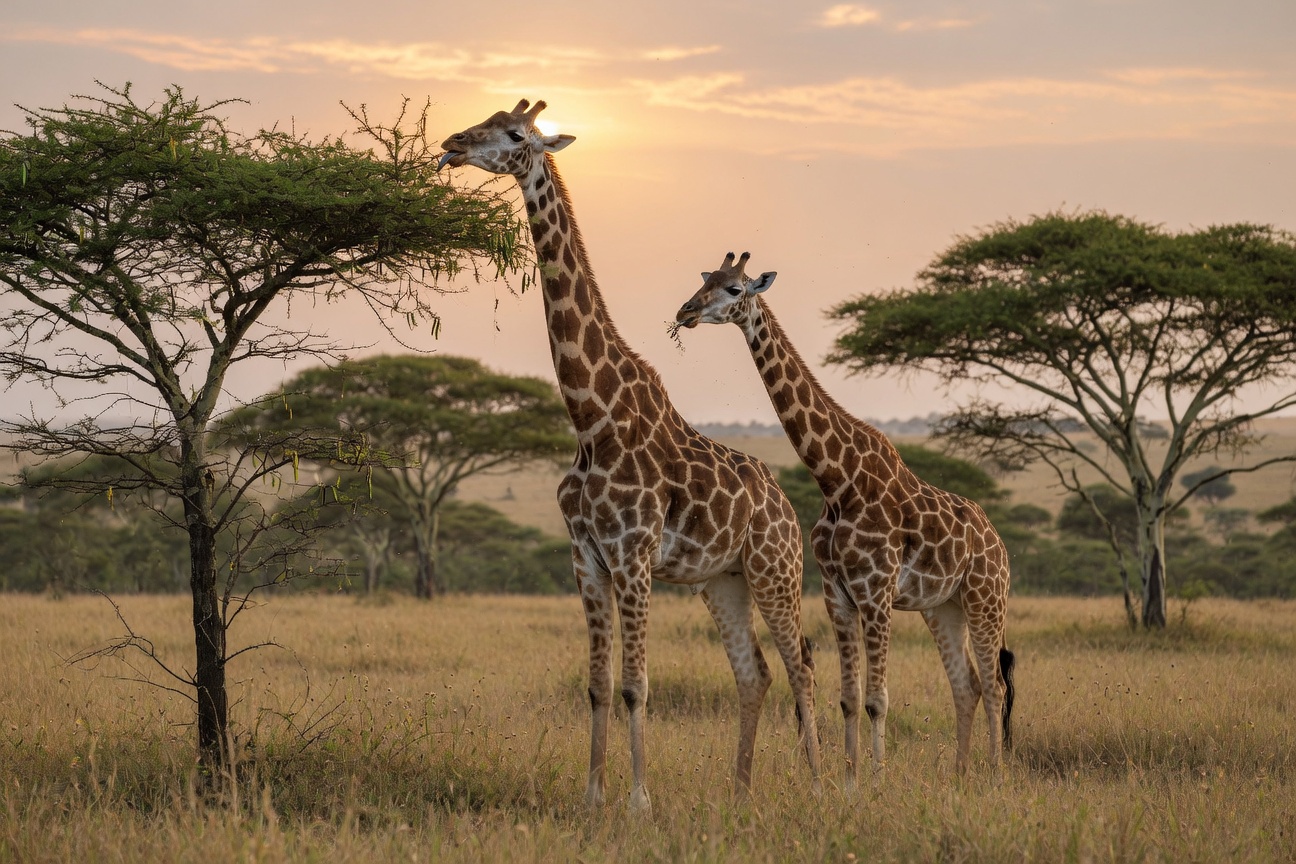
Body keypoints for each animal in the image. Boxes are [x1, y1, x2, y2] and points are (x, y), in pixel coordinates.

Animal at [437, 103, 822, 810]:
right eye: (485, 118)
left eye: (514, 135)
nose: (452, 143)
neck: (593, 417)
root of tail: (786, 508)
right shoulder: (586, 558)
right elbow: (596, 684)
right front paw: (593, 796)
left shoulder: (634, 556)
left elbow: (636, 685)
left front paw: (640, 800)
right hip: (721, 580)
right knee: (754, 673)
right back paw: (740, 793)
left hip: (774, 570)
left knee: (800, 664)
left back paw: (819, 784)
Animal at [674, 252, 1015, 788]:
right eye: (705, 280)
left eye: (734, 289)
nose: (685, 311)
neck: (836, 479)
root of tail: (1000, 543)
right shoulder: (837, 592)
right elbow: (850, 698)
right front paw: (851, 783)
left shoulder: (875, 592)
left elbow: (877, 699)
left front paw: (876, 782)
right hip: (945, 606)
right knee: (969, 685)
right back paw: (961, 776)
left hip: (986, 598)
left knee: (997, 685)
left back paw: (995, 777)